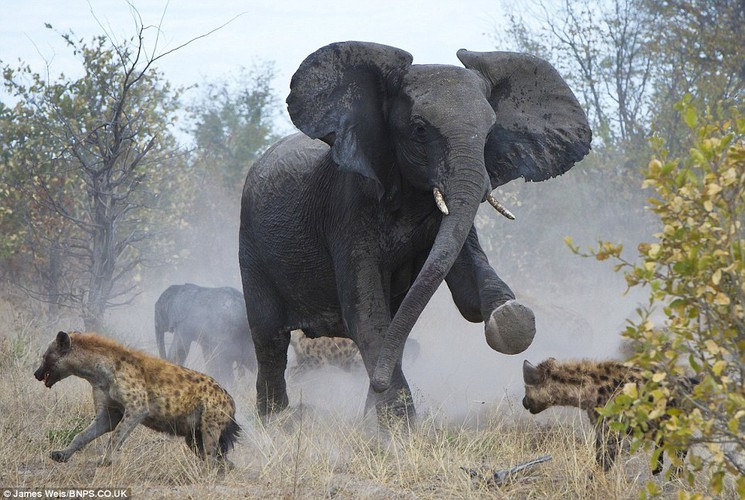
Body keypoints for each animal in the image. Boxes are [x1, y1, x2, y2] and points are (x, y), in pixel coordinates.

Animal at [235, 41, 588, 422]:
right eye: (420, 129)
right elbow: (365, 312)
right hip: (250, 243)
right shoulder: (346, 206)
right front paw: (395, 426)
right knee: (269, 338)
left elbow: (467, 294)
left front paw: (509, 317)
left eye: (491, 131)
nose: (376, 383)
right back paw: (275, 421)